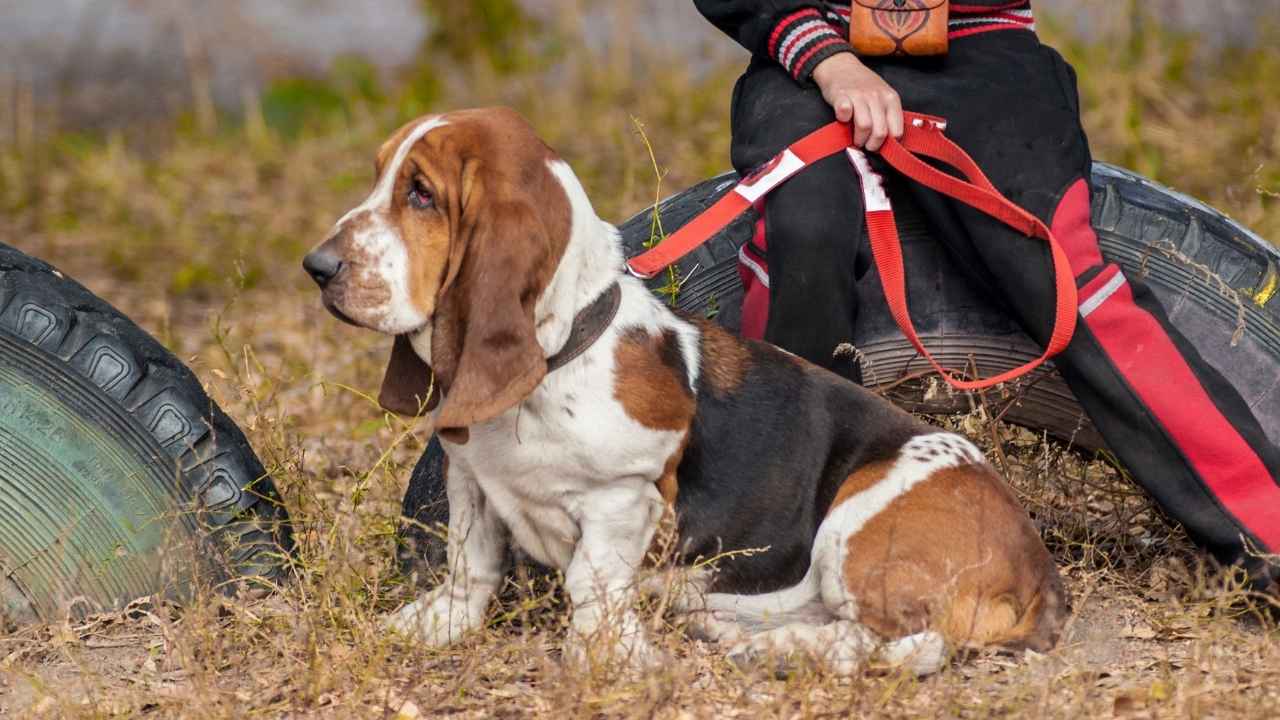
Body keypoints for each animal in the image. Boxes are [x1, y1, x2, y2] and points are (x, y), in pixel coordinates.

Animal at [304, 106, 1064, 671]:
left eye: (422, 195)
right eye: (379, 178)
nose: (317, 267)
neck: (557, 362)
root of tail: (1037, 569)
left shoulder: (623, 499)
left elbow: (590, 584)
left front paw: (606, 659)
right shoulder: (471, 479)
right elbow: (471, 566)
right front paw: (432, 625)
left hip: (860, 514)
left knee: (913, 643)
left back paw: (774, 648)